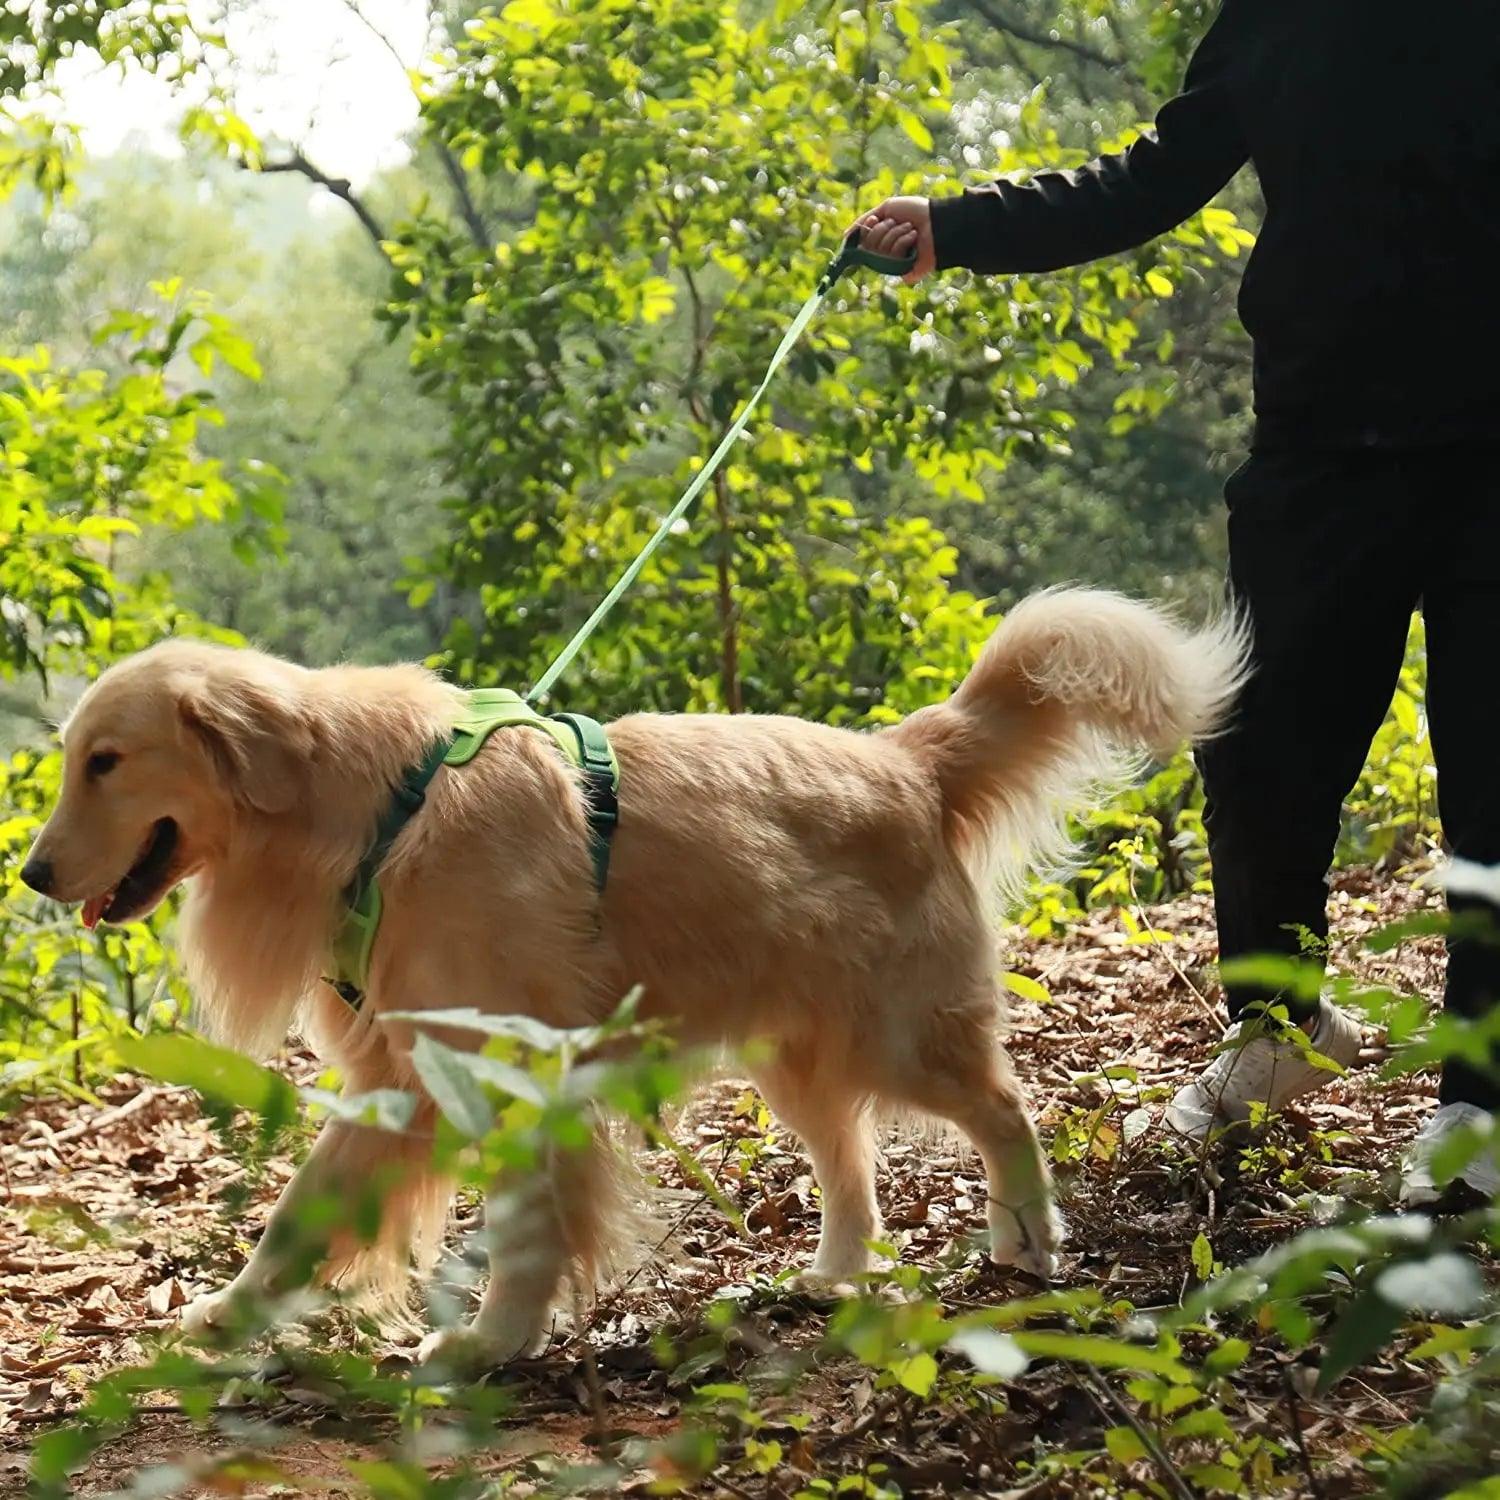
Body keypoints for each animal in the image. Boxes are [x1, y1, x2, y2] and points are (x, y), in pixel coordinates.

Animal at [20, 591, 1242, 1368]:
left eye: (105, 762)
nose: (30, 874)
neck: (383, 811)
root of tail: (907, 758)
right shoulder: (405, 1077)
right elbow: (296, 1217)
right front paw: (227, 1320)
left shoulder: (515, 1073)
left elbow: (525, 1227)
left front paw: (490, 1342)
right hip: (794, 1055)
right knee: (850, 1165)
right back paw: (832, 1274)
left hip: (895, 1033)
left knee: (1002, 1107)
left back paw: (1026, 1236)